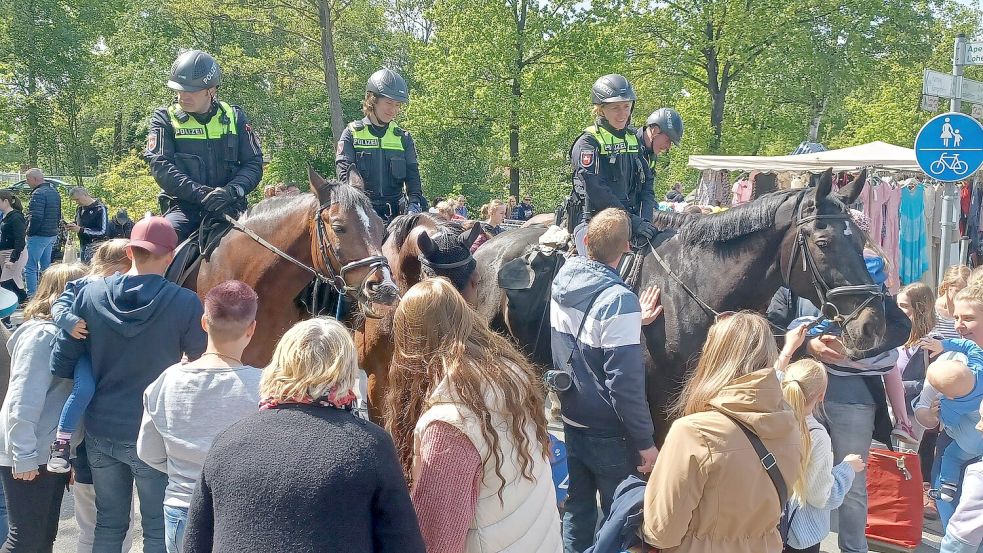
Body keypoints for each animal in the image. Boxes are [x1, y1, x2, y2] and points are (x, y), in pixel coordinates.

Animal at [474, 169, 900, 444]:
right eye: (824, 242)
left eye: (860, 237)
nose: (873, 326)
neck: (689, 286)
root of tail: (487, 252)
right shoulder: (655, 401)